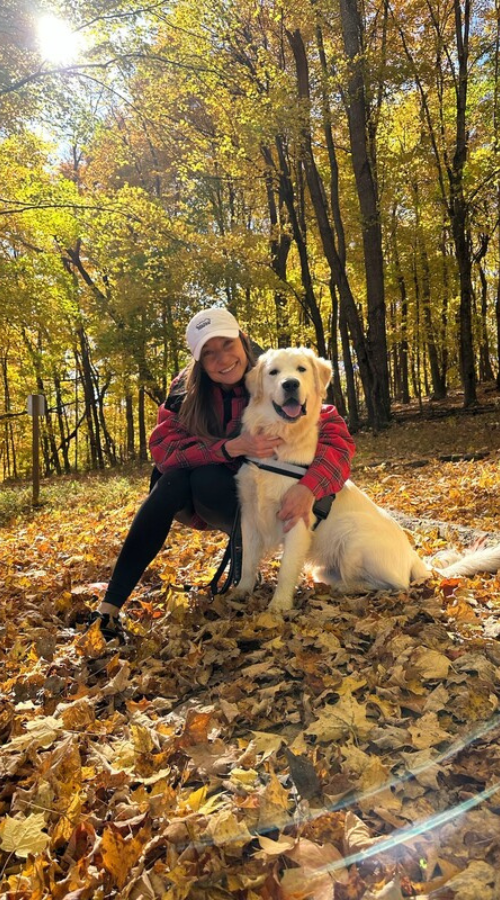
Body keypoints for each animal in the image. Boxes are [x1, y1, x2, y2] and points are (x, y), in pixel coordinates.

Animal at [234, 344, 500, 612]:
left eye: (301, 369)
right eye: (273, 372)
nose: (290, 384)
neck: (278, 446)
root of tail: (414, 558)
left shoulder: (297, 517)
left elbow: (287, 568)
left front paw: (279, 605)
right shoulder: (249, 514)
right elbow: (246, 559)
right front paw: (240, 591)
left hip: (352, 537)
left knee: (393, 585)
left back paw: (346, 588)